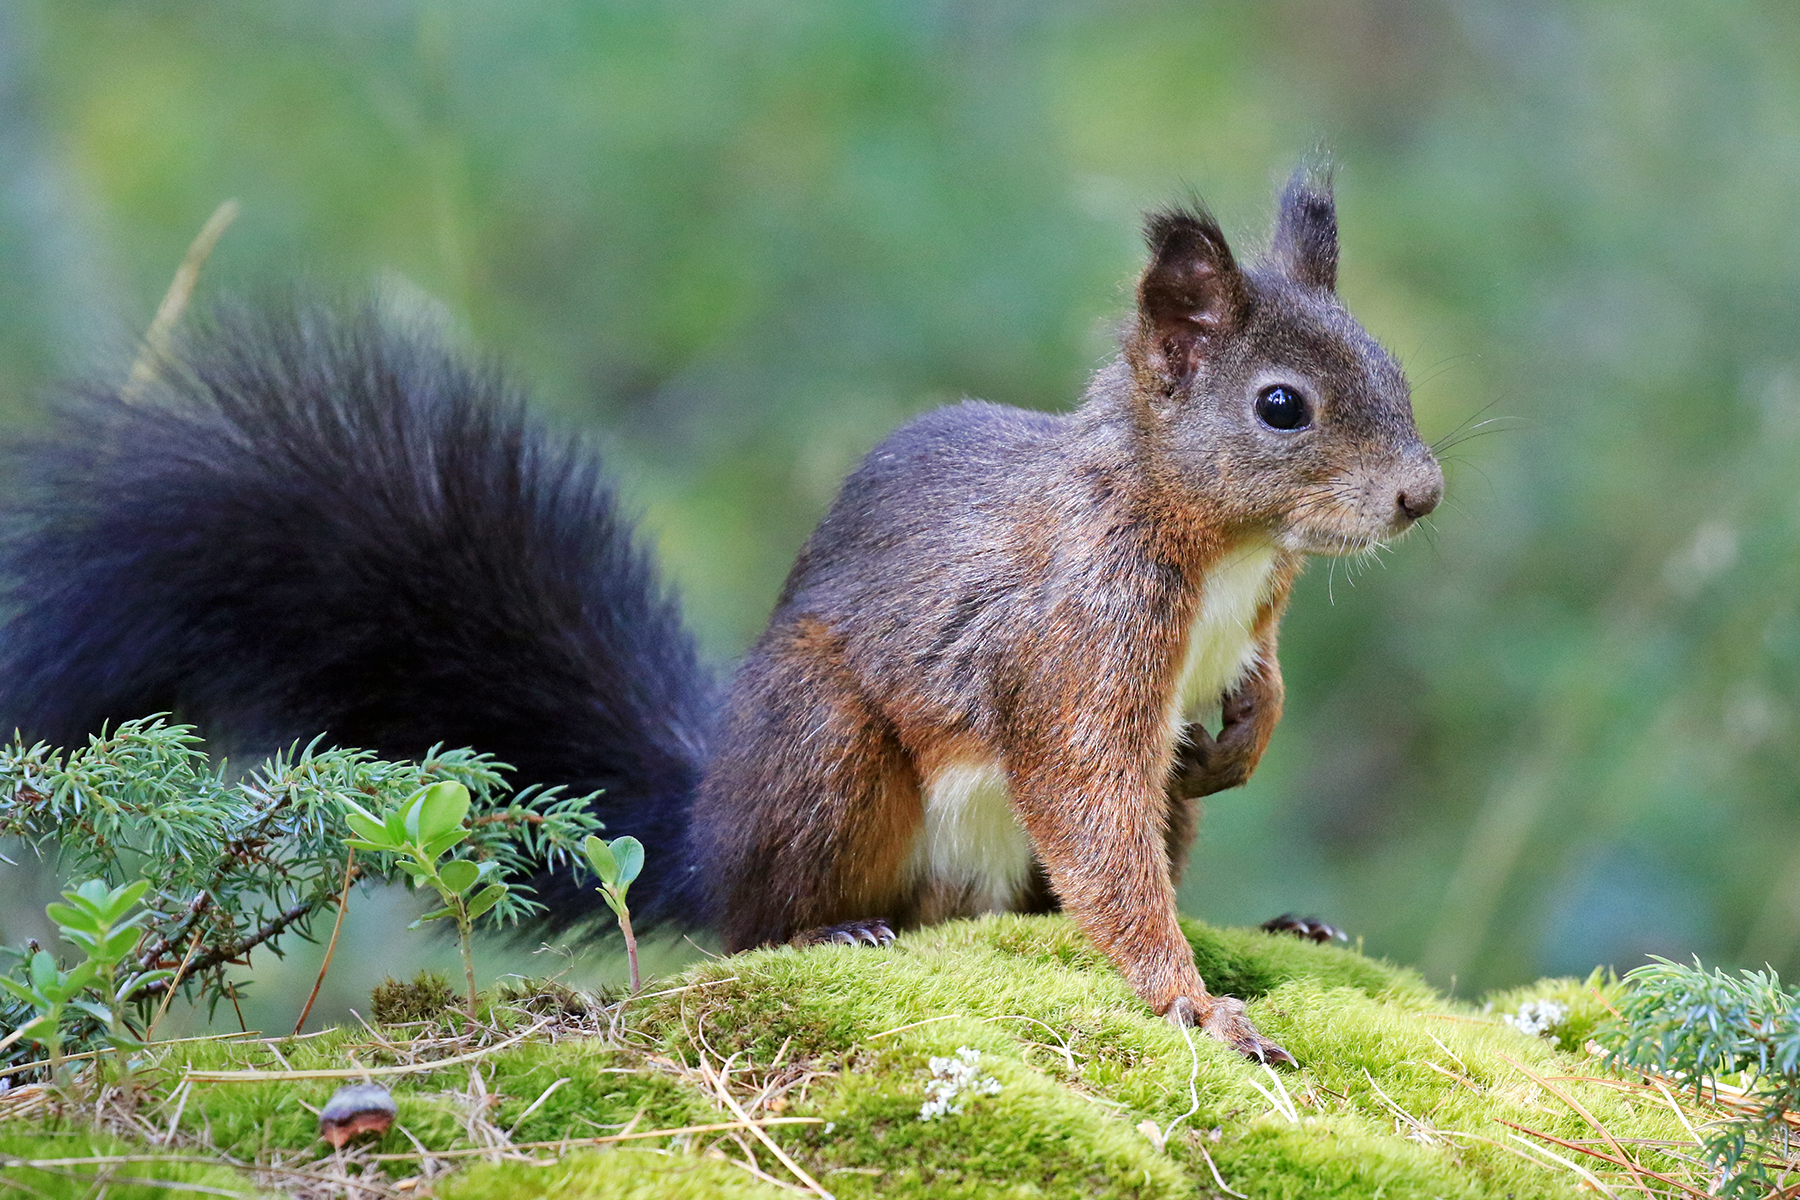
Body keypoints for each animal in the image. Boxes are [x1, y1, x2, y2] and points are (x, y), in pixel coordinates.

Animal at [0, 166, 1440, 1064]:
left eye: (1391, 367)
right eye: (1281, 407)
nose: (1422, 494)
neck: (1222, 545)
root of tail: (704, 834)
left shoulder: (1242, 629)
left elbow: (1250, 694)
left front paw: (1246, 736)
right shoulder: (1070, 640)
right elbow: (1089, 802)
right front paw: (1193, 1007)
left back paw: (1278, 925)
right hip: (821, 748)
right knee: (769, 921)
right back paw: (836, 925)